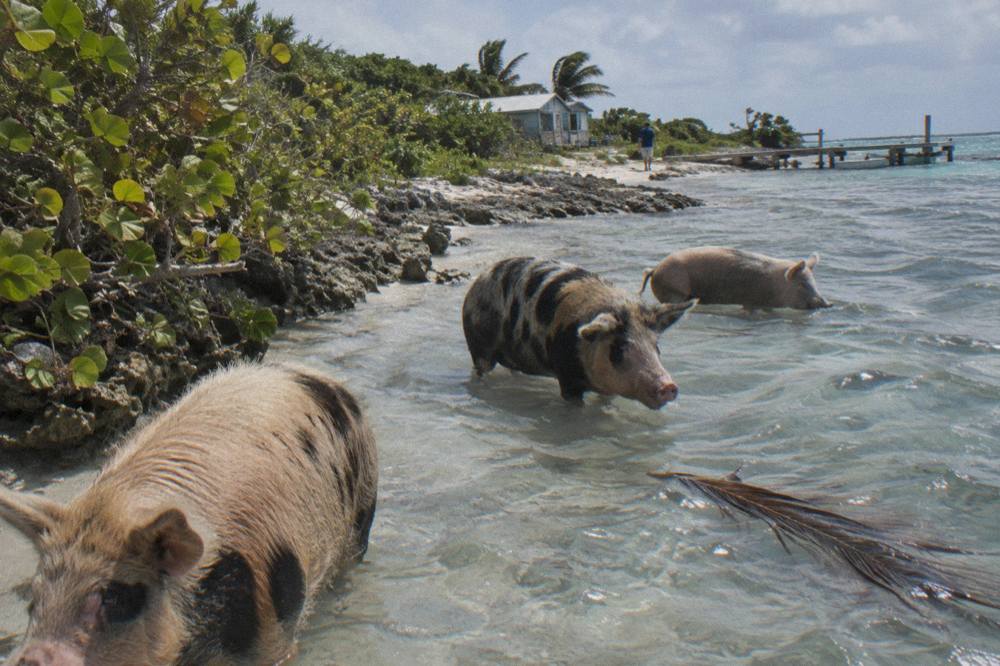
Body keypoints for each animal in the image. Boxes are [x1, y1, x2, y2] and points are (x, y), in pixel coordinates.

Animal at [0, 363, 378, 666]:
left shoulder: (274, 628)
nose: (29, 659)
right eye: (33, 601)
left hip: (363, 510)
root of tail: (321, 377)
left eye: (114, 599)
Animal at [462, 257, 696, 409]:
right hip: (478, 345)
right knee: (480, 369)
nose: (668, 385)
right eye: (619, 349)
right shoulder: (567, 377)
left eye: (656, 347)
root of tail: (479, 280)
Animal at [640, 246, 831, 310]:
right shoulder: (752, 301)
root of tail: (655, 269)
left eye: (814, 282)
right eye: (802, 284)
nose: (828, 304)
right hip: (675, 290)